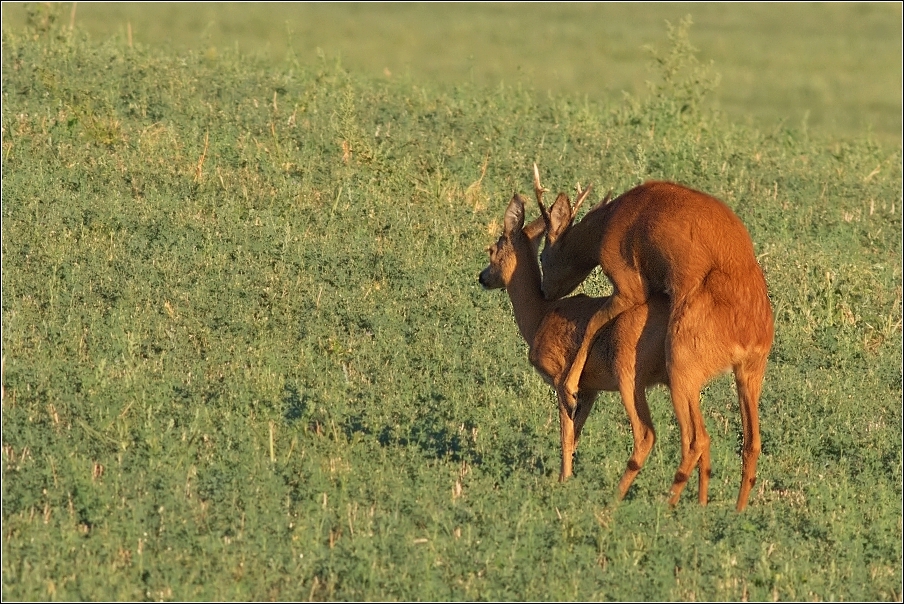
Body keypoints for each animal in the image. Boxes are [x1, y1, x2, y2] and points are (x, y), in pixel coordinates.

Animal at [480, 195, 672, 500]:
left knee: (645, 434)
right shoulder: (590, 389)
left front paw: (563, 482)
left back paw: (614, 498)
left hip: (628, 373)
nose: (483, 277)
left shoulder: (561, 379)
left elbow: (565, 434)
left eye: (492, 249)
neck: (539, 317)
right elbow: (575, 436)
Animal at [532, 164, 772, 510]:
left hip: (682, 365)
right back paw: (730, 511)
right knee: (752, 441)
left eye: (542, 257)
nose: (545, 292)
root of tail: (749, 334)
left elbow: (594, 321)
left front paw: (570, 388)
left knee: (695, 437)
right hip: (749, 373)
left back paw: (668, 505)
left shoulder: (630, 284)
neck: (610, 220)